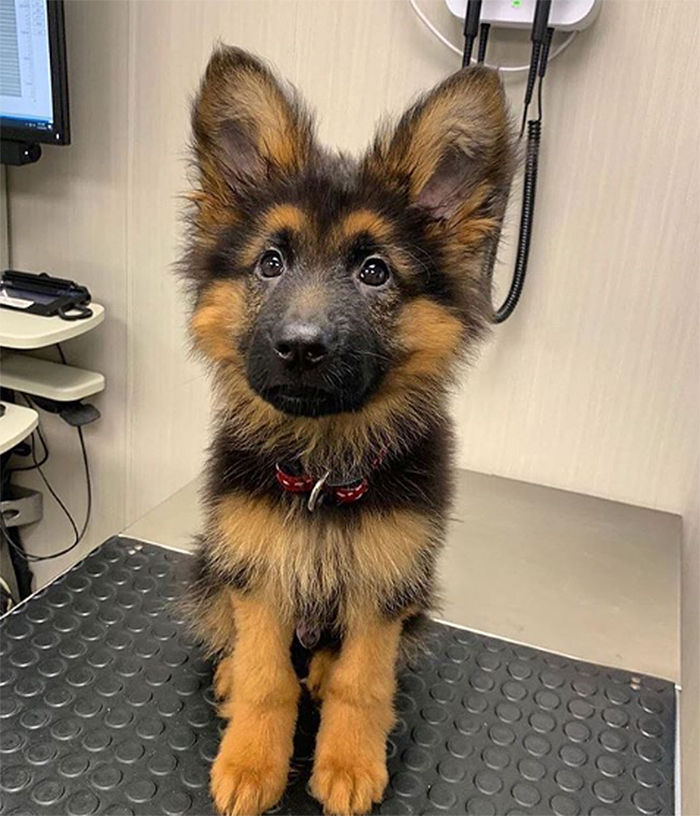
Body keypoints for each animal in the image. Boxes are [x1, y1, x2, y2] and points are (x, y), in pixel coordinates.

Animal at [183, 46, 516, 816]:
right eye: (270, 263)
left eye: (374, 271)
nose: (301, 348)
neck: (322, 468)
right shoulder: (257, 568)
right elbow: (266, 677)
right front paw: (252, 762)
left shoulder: (386, 582)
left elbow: (360, 682)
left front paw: (350, 762)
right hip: (210, 564)